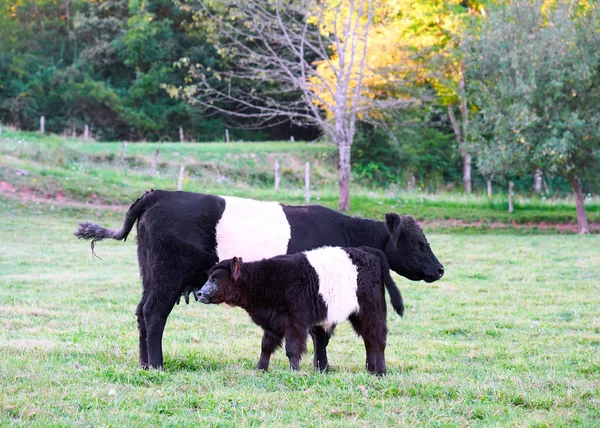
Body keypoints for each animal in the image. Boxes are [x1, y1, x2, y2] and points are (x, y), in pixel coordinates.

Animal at [199, 246, 406, 376]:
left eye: (215, 278)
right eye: (209, 276)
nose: (199, 293)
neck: (266, 279)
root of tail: (370, 252)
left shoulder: (295, 322)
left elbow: (292, 348)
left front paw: (294, 372)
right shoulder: (272, 322)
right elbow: (266, 346)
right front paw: (260, 370)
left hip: (371, 311)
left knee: (377, 339)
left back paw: (380, 372)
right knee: (369, 341)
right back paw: (372, 370)